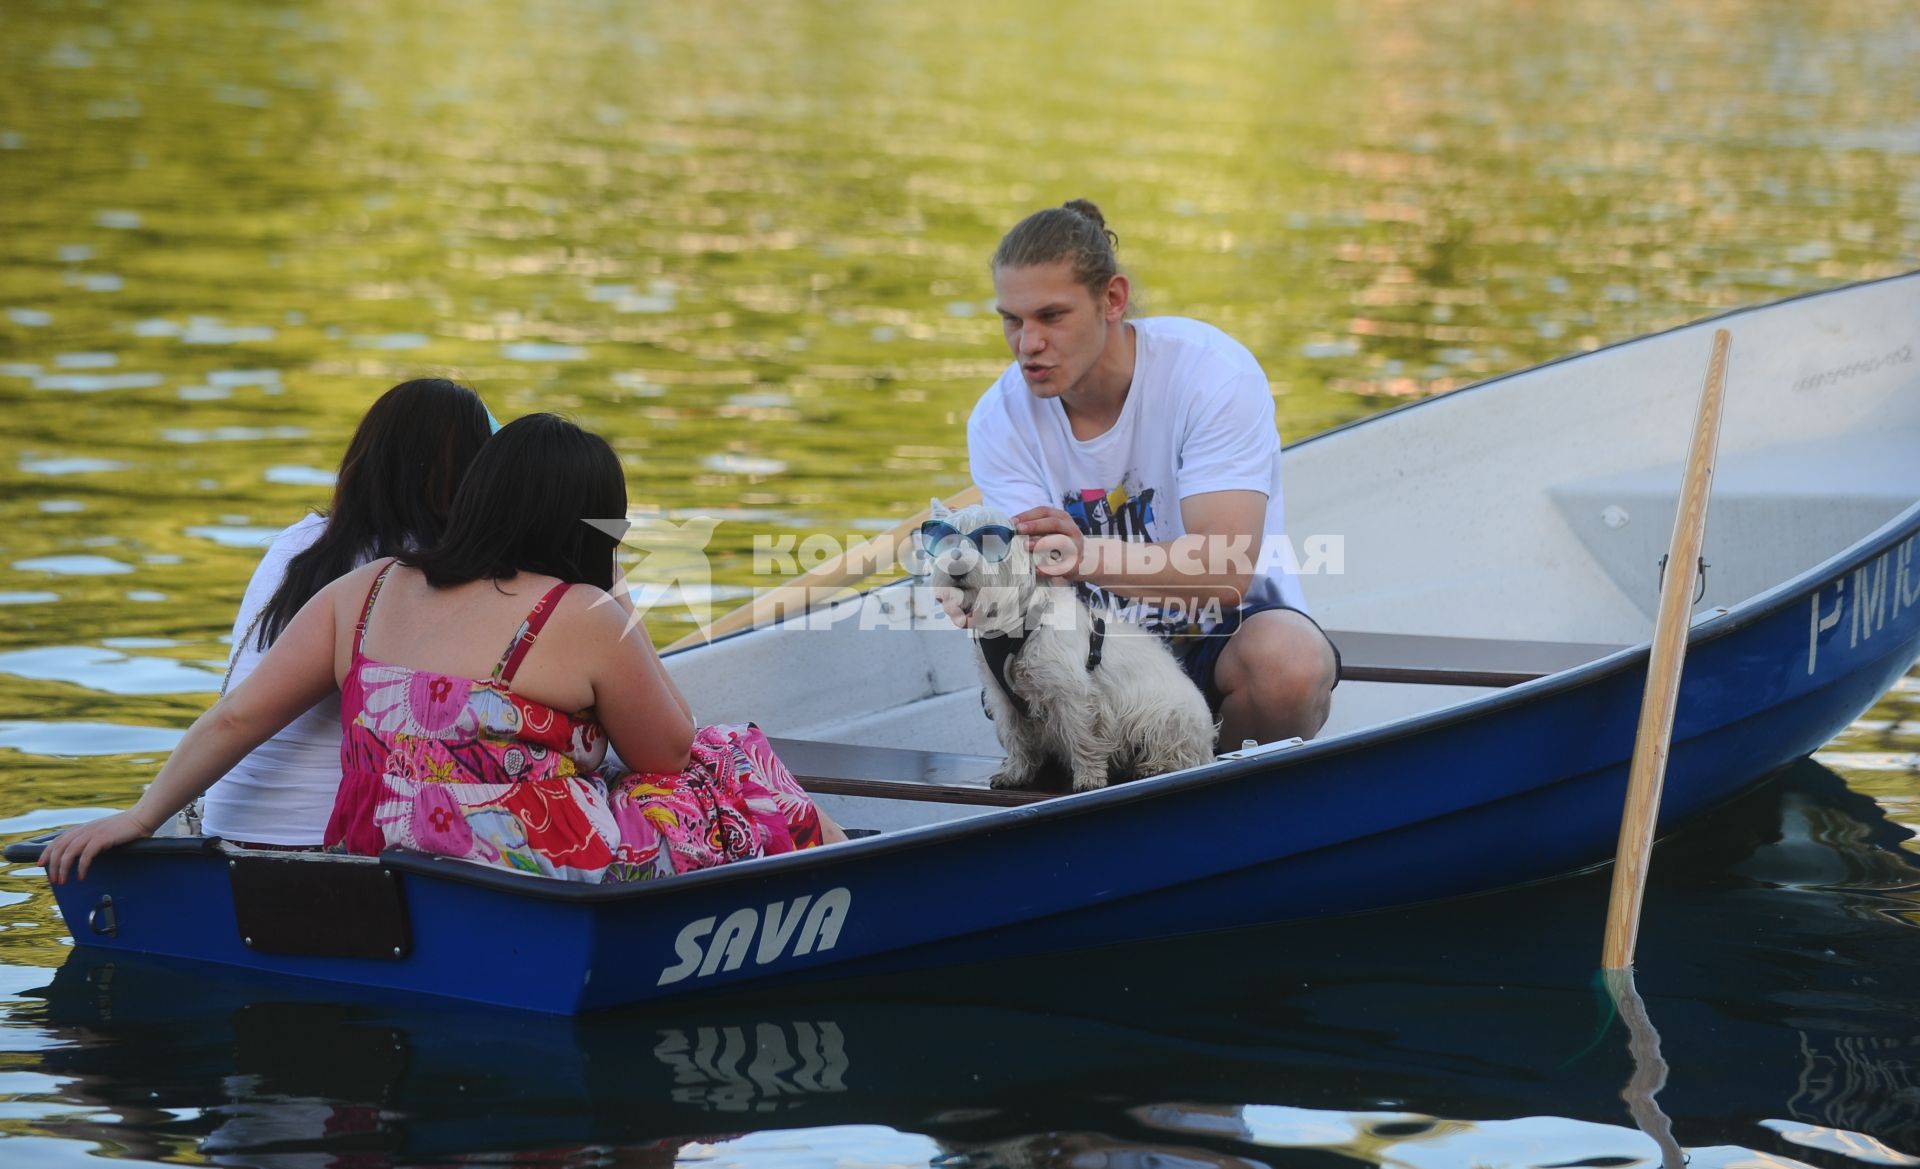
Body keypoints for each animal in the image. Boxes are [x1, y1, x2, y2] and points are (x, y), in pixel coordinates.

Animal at [917, 499, 1213, 794]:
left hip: (1166, 716)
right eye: (947, 540)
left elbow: (1082, 735)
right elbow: (1015, 736)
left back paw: (1156, 765)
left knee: (1177, 749)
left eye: (989, 542)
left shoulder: (1072, 693)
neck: (1015, 624)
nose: (956, 568)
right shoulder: (1001, 697)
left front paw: (1088, 778)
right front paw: (1014, 773)